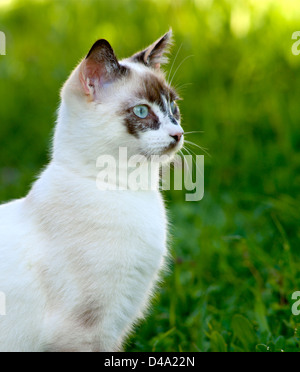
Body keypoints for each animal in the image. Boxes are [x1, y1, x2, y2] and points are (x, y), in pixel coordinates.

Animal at [0, 29, 184, 352]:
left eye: (173, 108)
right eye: (142, 111)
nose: (178, 134)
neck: (133, 190)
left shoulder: (111, 328)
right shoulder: (85, 332)